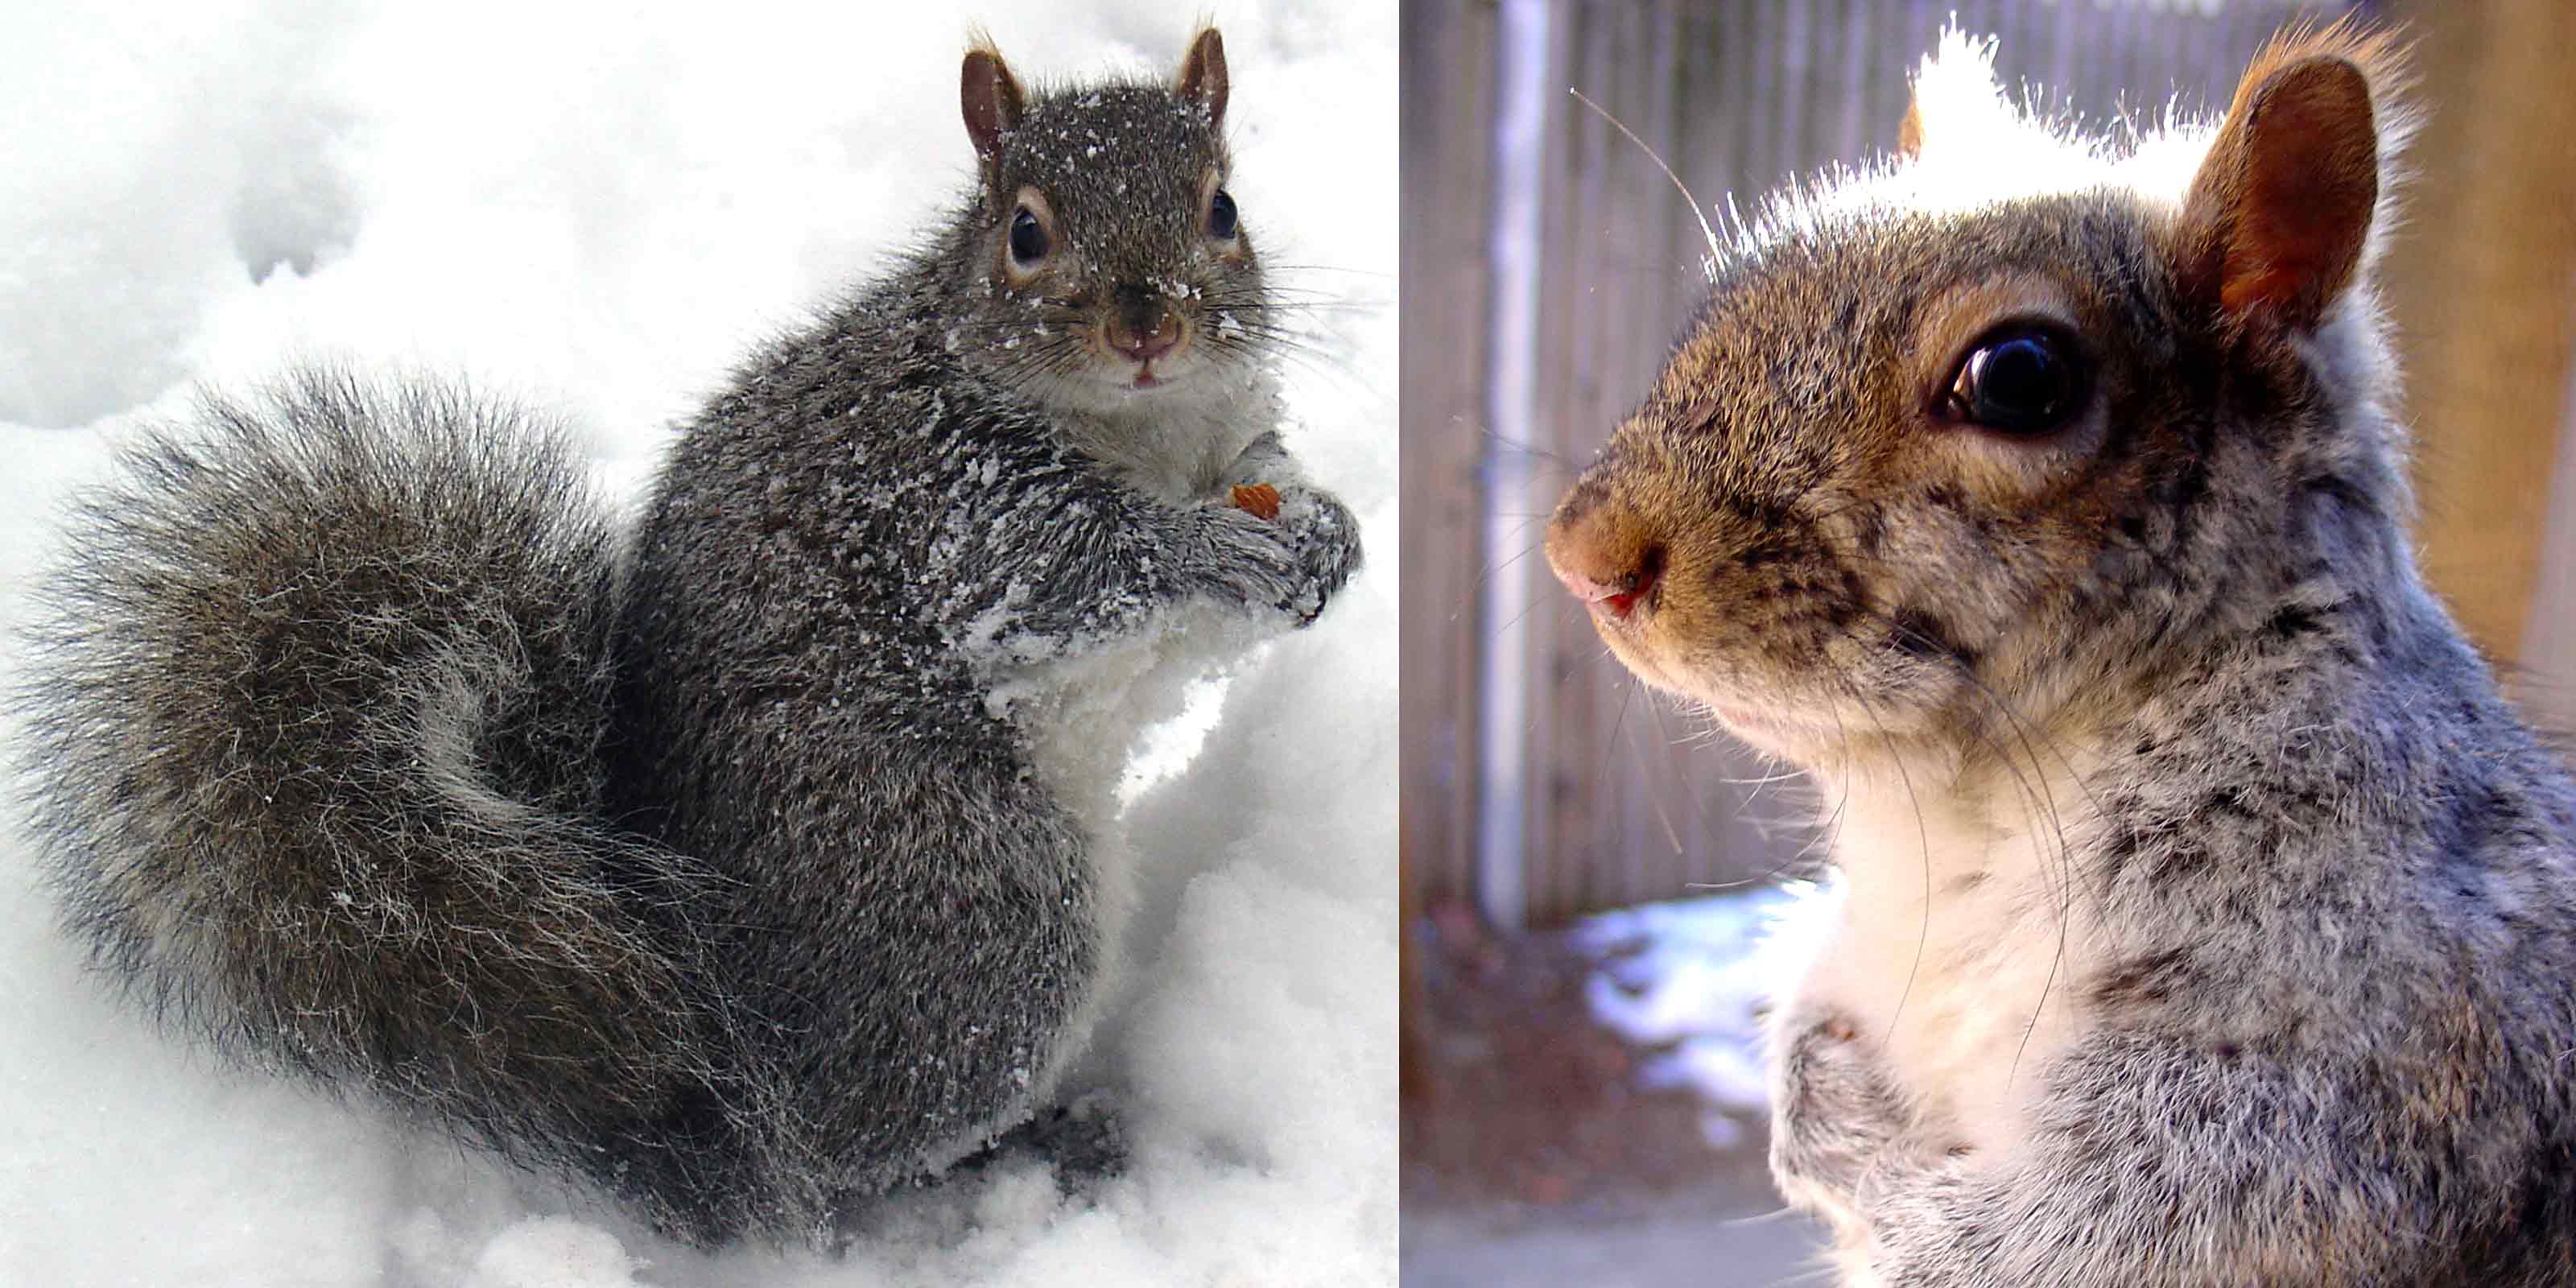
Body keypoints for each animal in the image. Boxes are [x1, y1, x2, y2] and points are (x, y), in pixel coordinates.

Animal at [15, 25, 1360, 1248]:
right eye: (1024, 233)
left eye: (1224, 207)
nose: (1149, 326)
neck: (1150, 434)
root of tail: (707, 1029)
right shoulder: (950, 514)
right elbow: (1086, 571)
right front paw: (1211, 549)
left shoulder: (1221, 440)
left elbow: (1259, 495)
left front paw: (1326, 535)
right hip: (976, 905)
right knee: (844, 1157)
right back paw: (1010, 1154)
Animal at [1545, 20, 2576, 1287]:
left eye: (2019, 378)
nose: (1583, 555)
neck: (1955, 813)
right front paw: (1816, 1108)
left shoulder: (2377, 1060)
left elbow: (2092, 1229)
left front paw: (1883, 1193)